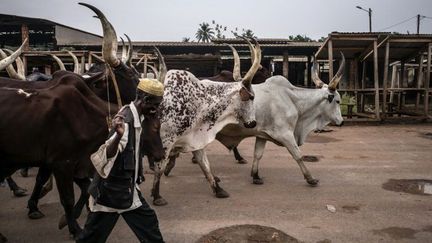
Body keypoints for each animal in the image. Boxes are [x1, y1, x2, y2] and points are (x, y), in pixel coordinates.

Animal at [150, 41, 262, 205]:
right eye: (252, 97)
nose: (252, 123)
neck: (197, 101)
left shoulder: (195, 140)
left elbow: (205, 165)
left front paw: (218, 189)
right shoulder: (165, 141)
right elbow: (160, 167)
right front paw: (157, 195)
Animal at [218, 53, 346, 184]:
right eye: (337, 101)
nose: (341, 121)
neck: (293, 100)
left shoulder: (262, 134)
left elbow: (258, 154)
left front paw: (256, 176)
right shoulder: (285, 134)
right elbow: (298, 155)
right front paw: (310, 178)